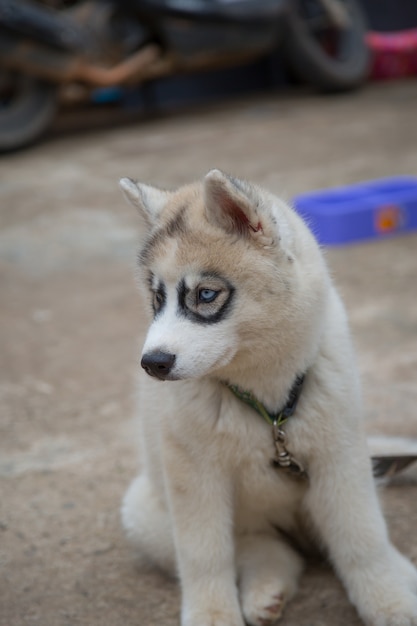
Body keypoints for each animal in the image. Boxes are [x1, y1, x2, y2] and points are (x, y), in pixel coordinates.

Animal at [118, 169, 416, 624]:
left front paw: (391, 603)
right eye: (157, 299)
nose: (152, 363)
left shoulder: (340, 458)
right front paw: (212, 615)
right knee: (258, 547)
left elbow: (363, 539)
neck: (267, 403)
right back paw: (267, 585)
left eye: (206, 295)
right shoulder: (193, 474)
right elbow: (205, 556)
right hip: (144, 510)